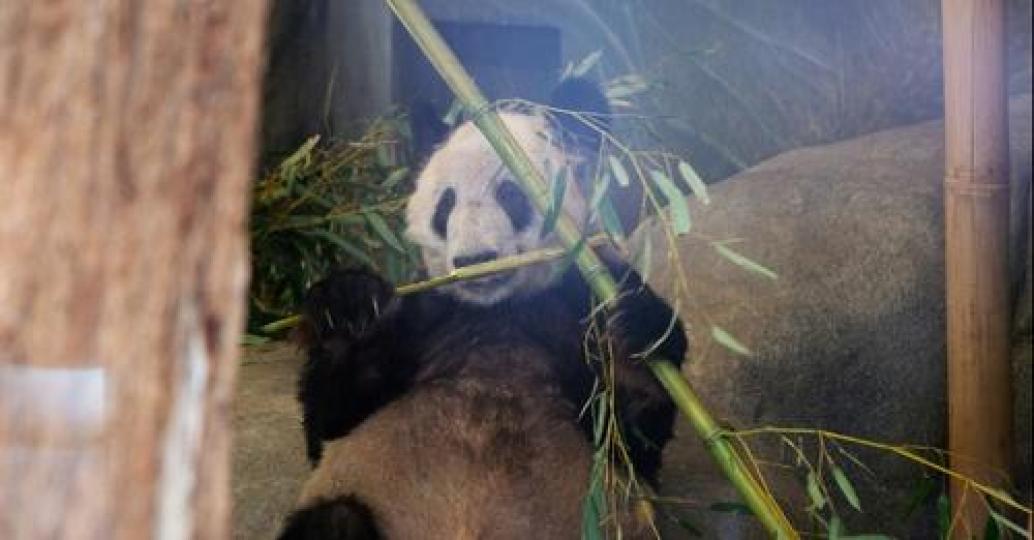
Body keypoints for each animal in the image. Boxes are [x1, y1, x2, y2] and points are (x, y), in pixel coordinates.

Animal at [279, 77, 690, 533]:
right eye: (446, 204)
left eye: (510, 194)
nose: (473, 260)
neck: (498, 310)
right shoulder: (426, 314)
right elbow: (330, 422)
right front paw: (348, 305)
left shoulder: (578, 300)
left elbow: (634, 434)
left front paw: (640, 332)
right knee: (333, 519)